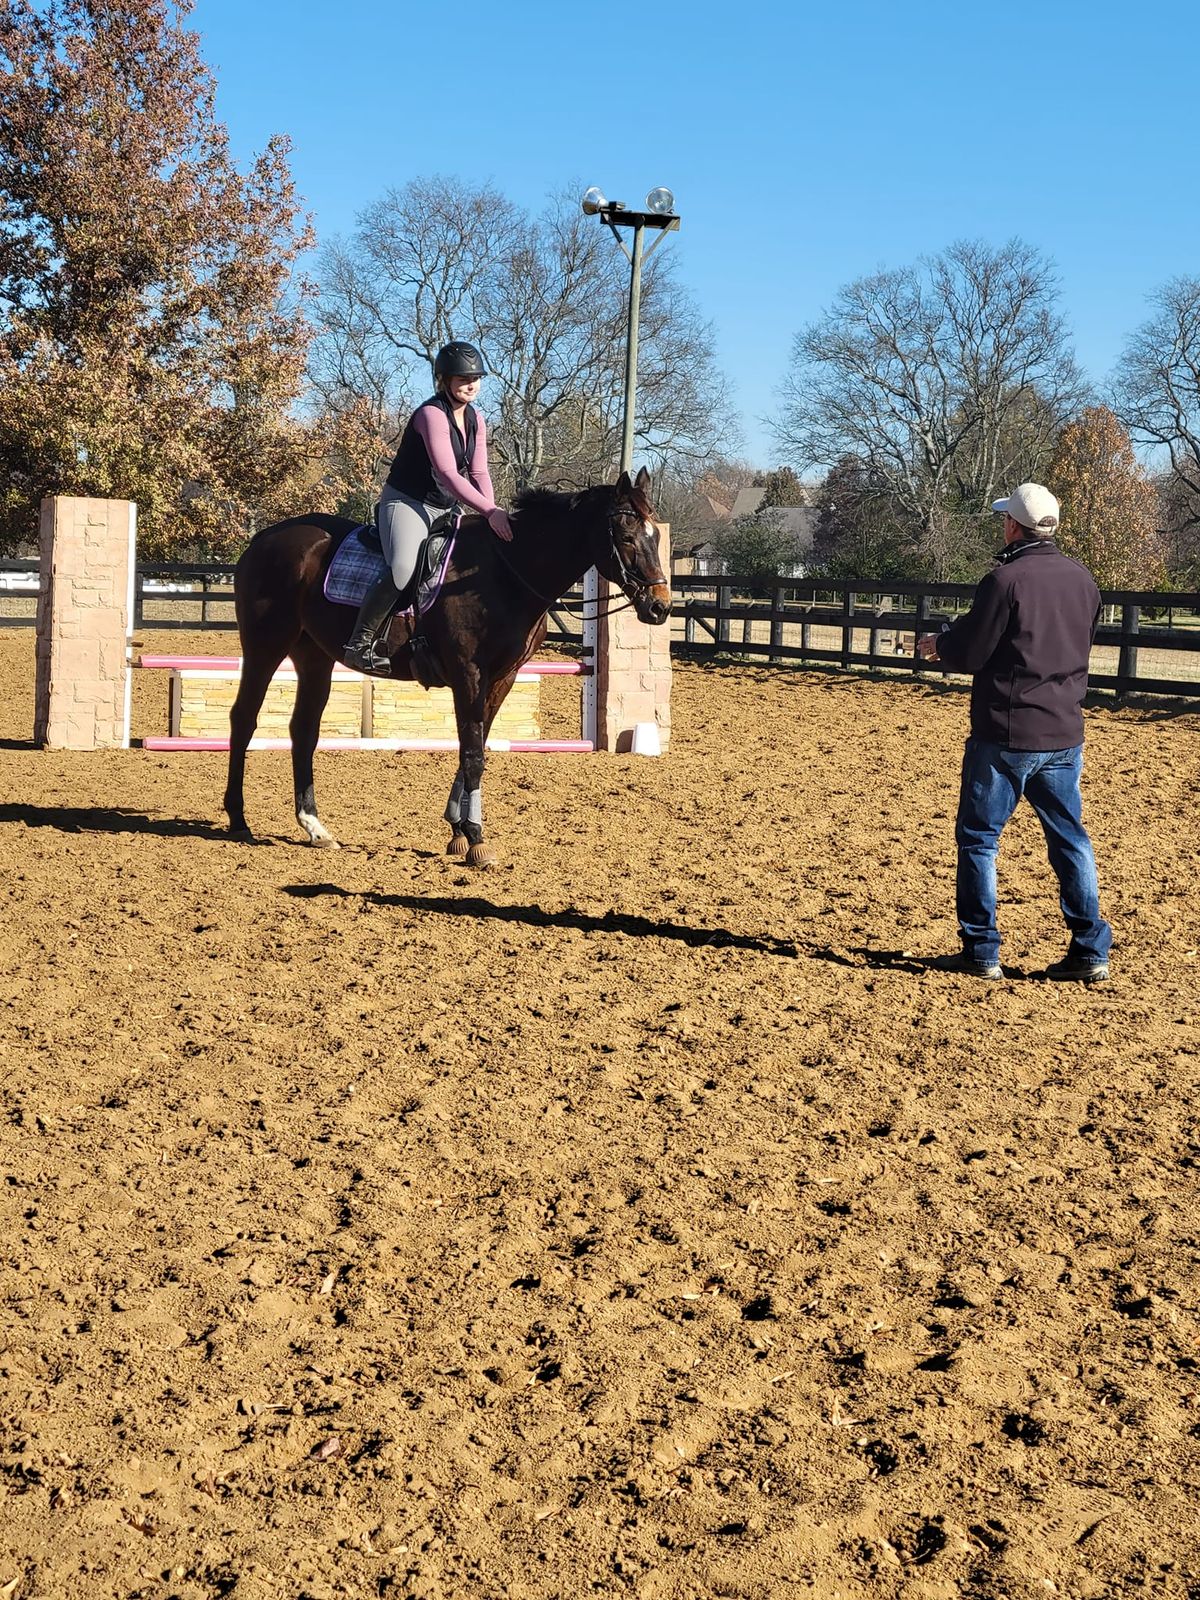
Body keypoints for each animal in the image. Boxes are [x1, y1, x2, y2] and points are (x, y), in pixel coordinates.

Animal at [220, 467, 672, 864]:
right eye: (626, 537)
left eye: (654, 535)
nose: (660, 607)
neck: (506, 573)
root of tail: (263, 538)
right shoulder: (468, 673)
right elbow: (471, 751)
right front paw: (475, 838)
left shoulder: (502, 677)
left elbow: (476, 744)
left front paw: (457, 827)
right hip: (265, 647)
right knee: (244, 718)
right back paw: (239, 820)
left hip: (314, 658)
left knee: (303, 731)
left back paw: (314, 826)